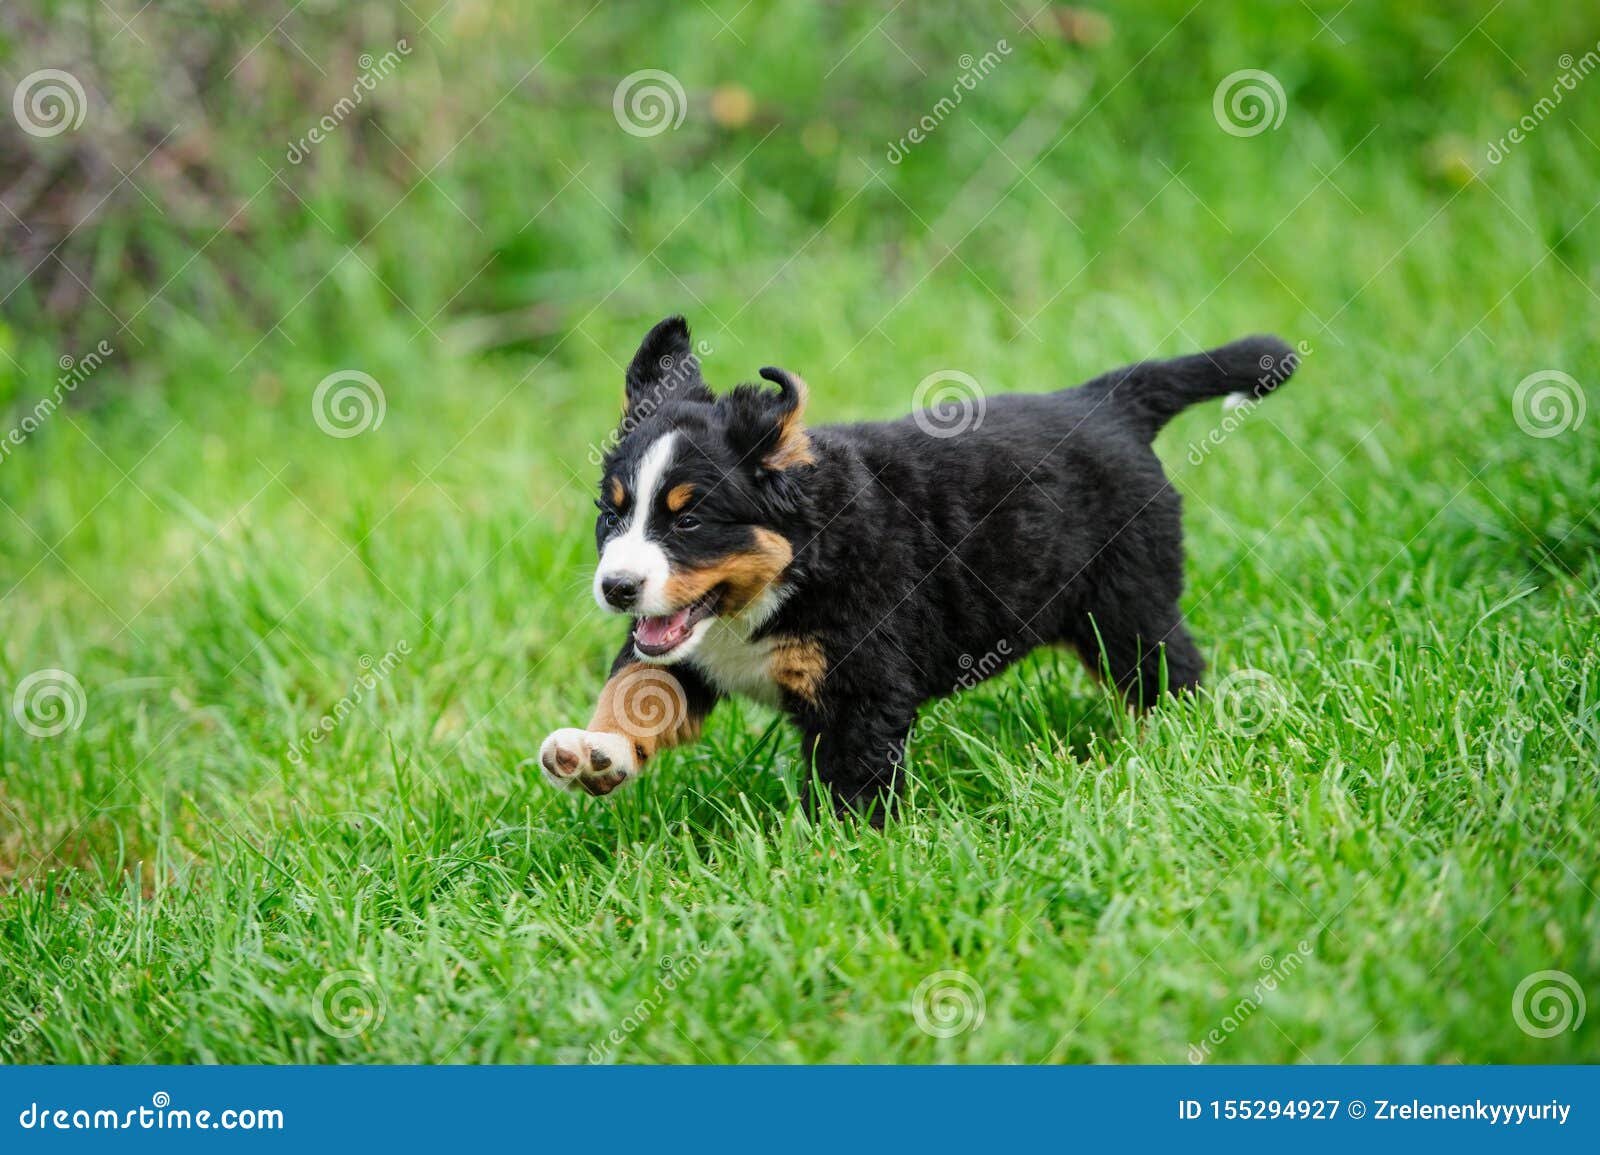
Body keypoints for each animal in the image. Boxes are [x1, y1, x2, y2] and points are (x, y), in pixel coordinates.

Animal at [540, 315, 1299, 819]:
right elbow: (638, 687)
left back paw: (1171, 746)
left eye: (689, 521)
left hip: (1124, 603)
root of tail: (1104, 401)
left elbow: (850, 783)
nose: (617, 588)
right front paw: (595, 751)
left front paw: (834, 857)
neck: (788, 574)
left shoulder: (861, 687)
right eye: (611, 515)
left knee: (1170, 671)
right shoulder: (686, 653)